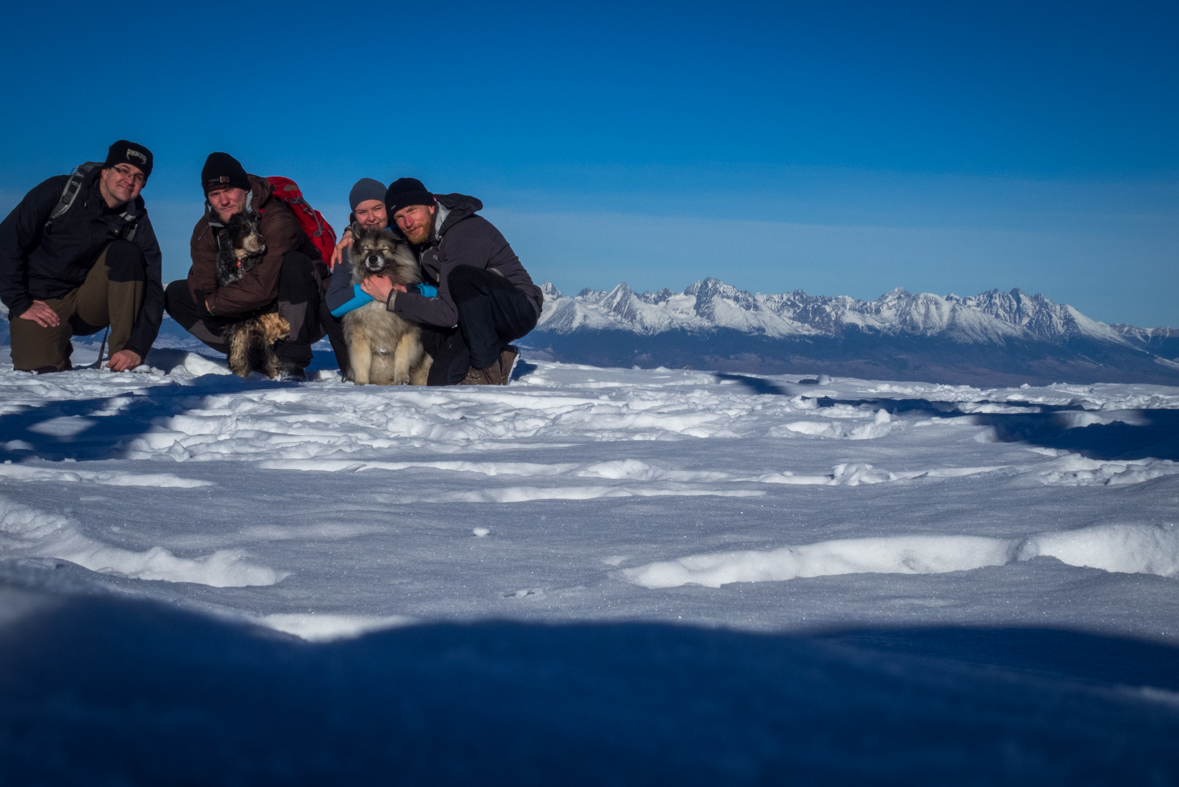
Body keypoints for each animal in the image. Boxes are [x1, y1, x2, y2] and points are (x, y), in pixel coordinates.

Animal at [344, 222, 433, 386]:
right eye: (366, 248)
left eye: (384, 248)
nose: (373, 258)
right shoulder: (359, 334)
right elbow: (361, 360)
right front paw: (361, 384)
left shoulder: (406, 331)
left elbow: (402, 356)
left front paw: (402, 379)